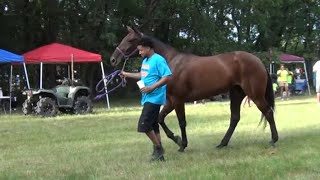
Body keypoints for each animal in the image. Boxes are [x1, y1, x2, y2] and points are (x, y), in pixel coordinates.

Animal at [110, 25, 278, 152]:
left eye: (131, 39)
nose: (113, 59)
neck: (171, 63)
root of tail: (258, 61)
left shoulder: (178, 100)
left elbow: (182, 122)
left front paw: (182, 144)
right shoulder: (170, 101)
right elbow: (160, 119)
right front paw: (177, 139)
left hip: (255, 95)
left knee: (268, 112)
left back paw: (274, 139)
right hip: (236, 94)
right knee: (235, 118)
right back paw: (222, 143)